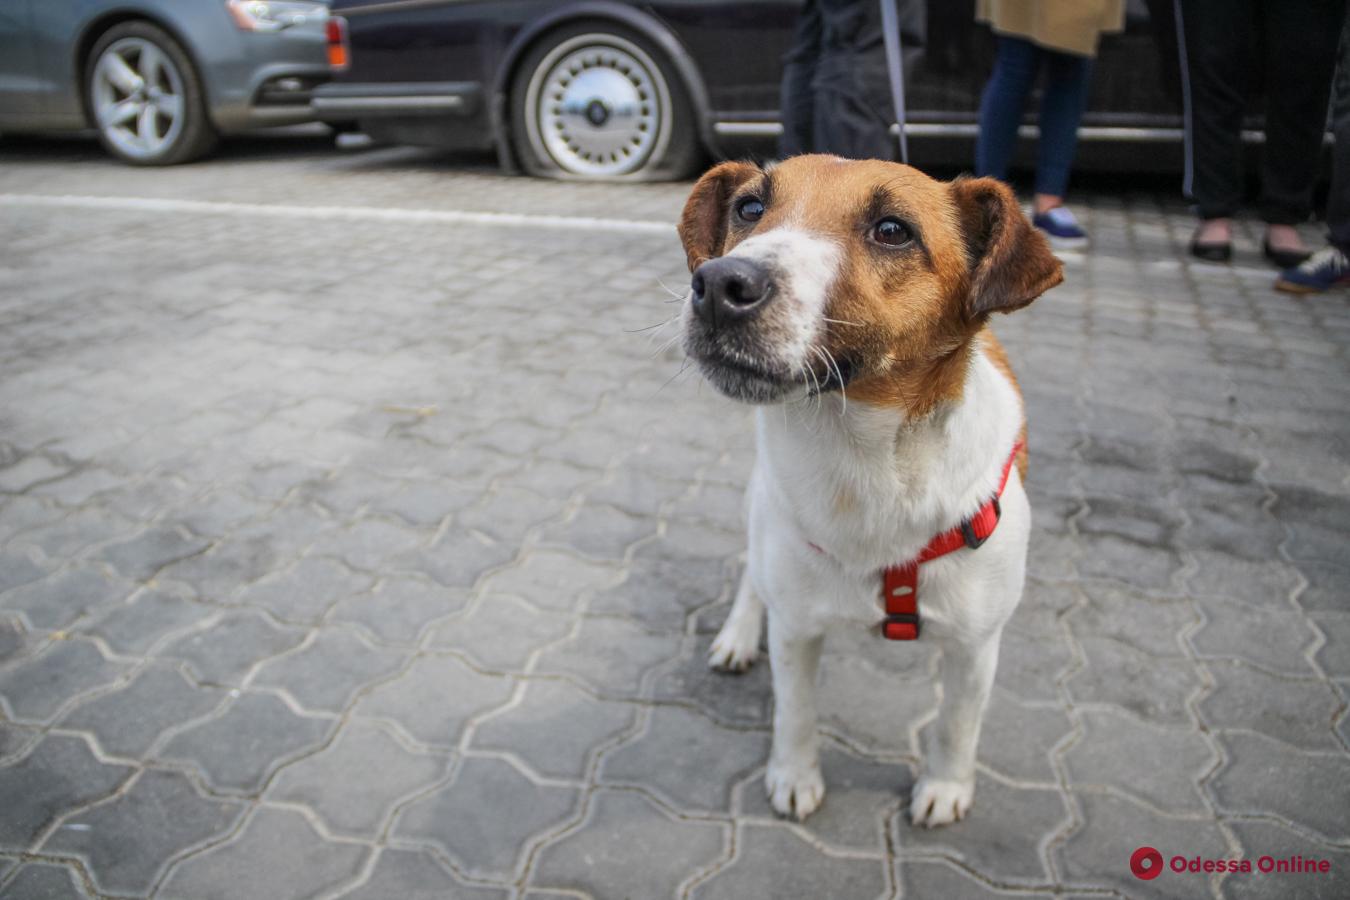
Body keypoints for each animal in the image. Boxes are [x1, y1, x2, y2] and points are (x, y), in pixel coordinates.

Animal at [680, 153, 1058, 825]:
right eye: (750, 208)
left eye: (892, 231)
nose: (719, 285)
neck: (869, 463)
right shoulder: (796, 627)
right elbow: (796, 713)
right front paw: (794, 776)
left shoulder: (976, 647)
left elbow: (957, 726)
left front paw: (945, 786)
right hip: (761, 506)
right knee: (753, 571)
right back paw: (737, 633)